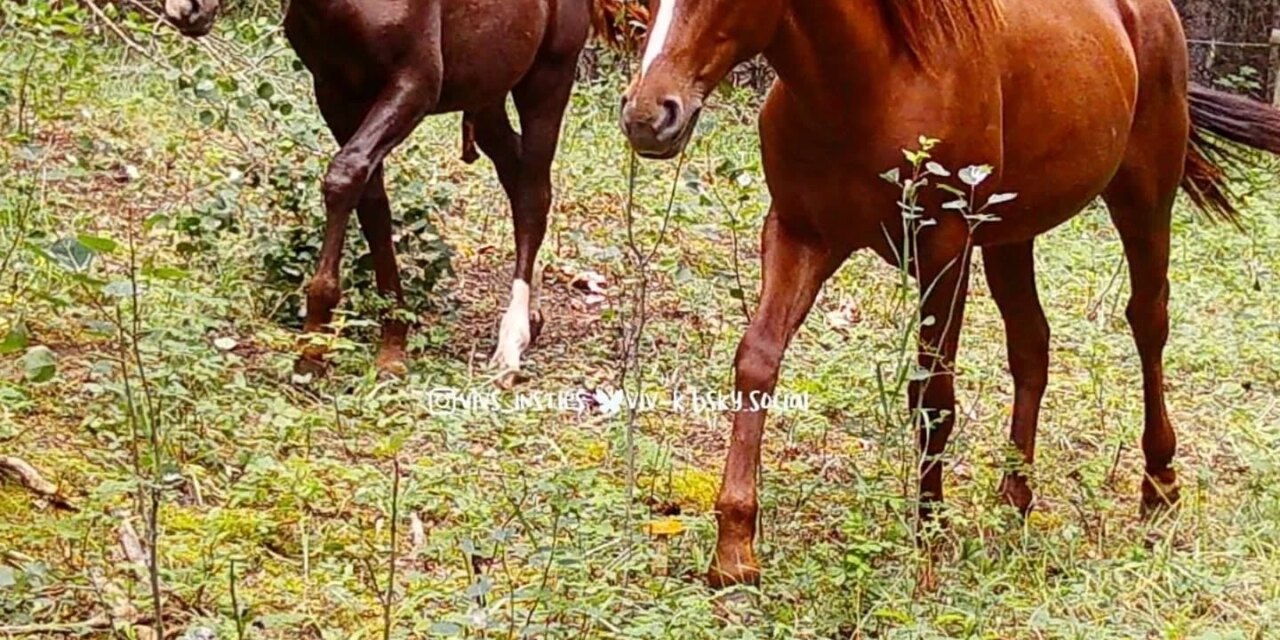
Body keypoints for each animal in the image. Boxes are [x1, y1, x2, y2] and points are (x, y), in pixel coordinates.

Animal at [163, 0, 606, 381]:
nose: (185, 9)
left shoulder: (415, 84)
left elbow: (344, 176)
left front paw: (313, 346)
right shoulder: (336, 94)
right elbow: (371, 201)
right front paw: (392, 342)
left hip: (548, 78)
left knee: (533, 192)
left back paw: (512, 341)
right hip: (488, 91)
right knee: (516, 177)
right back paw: (533, 316)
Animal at [620, 0, 1280, 587]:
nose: (649, 114)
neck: (868, 83)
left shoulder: (944, 252)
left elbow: (932, 395)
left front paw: (931, 539)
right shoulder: (797, 234)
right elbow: (757, 362)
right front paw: (734, 550)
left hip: (1143, 199)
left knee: (1148, 321)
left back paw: (1159, 487)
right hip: (1012, 238)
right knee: (1032, 345)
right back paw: (1014, 498)